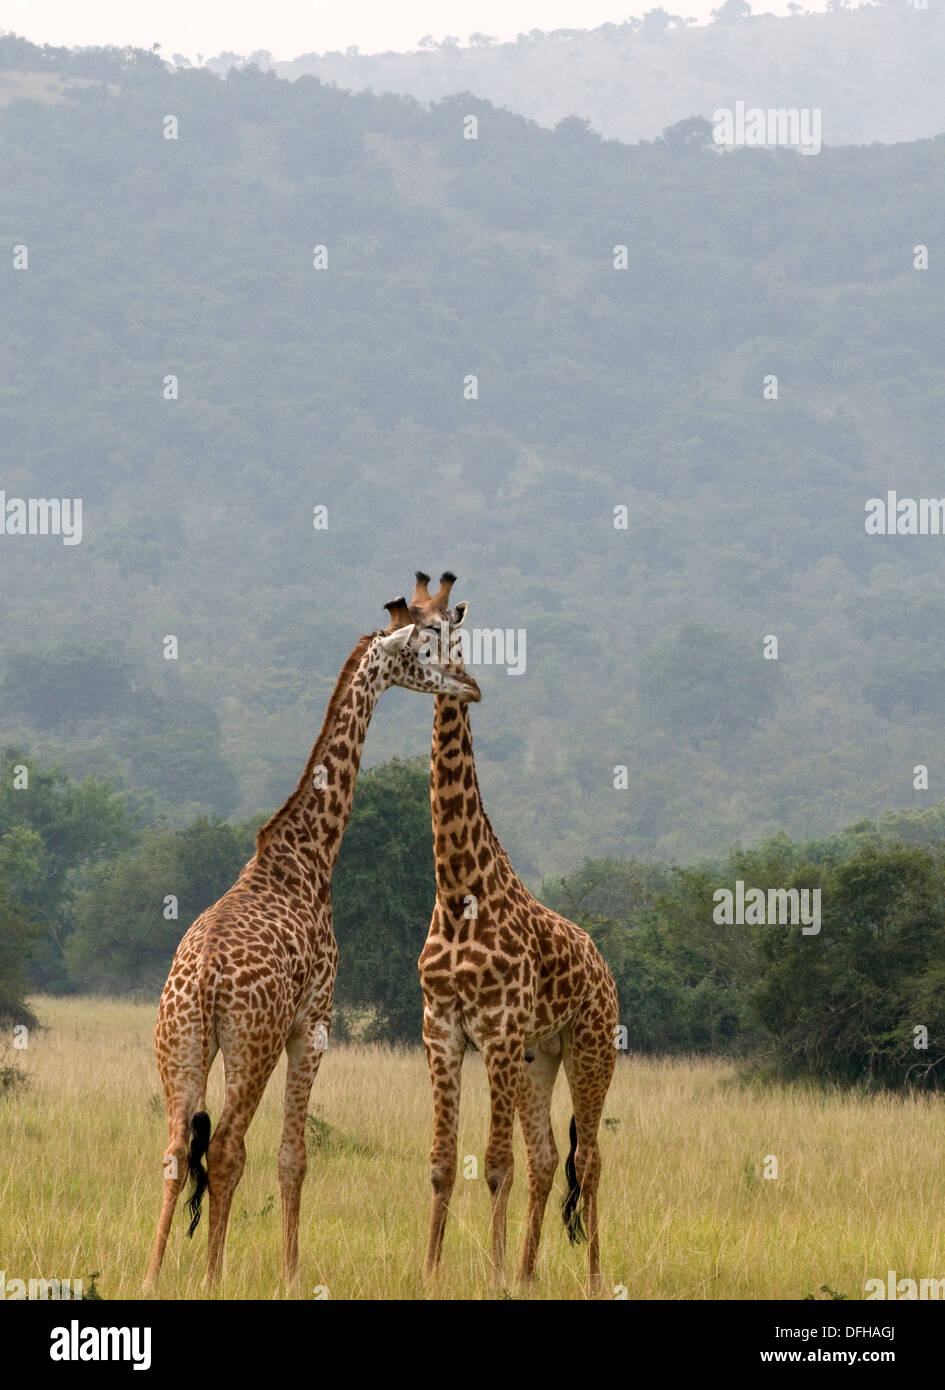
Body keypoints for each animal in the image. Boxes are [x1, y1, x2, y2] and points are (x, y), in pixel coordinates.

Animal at [142, 580, 481, 1293]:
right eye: (429, 641)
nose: (470, 685)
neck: (307, 856)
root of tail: (205, 980)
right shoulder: (314, 1020)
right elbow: (294, 1155)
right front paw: (292, 1275)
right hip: (253, 1040)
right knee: (228, 1145)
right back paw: (211, 1278)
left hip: (177, 1042)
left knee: (175, 1150)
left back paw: (153, 1277)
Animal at [411, 573, 620, 1295]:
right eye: (403, 622)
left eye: (443, 631)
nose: (455, 682)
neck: (457, 890)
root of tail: (604, 967)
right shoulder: (442, 1028)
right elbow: (444, 1161)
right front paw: (433, 1270)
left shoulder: (496, 1030)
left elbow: (493, 1163)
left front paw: (492, 1274)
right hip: (539, 1056)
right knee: (548, 1156)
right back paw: (530, 1273)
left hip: (589, 1049)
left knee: (589, 1159)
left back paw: (589, 1277)